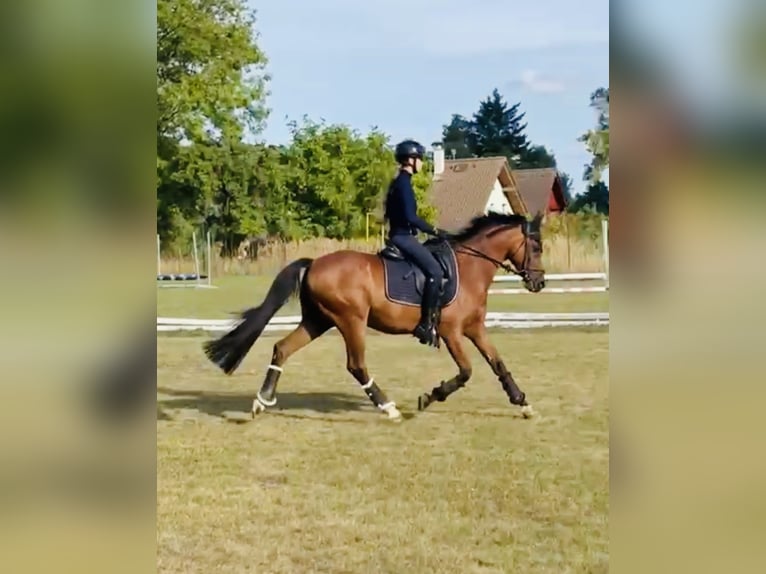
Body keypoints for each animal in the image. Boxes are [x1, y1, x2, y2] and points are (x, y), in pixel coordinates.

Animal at [203, 211, 546, 422]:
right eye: (537, 247)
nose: (539, 283)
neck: (470, 267)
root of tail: (314, 264)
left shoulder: (475, 328)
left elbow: (498, 364)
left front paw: (523, 403)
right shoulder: (451, 332)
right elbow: (465, 372)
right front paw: (429, 397)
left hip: (318, 321)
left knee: (282, 349)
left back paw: (262, 401)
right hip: (350, 320)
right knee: (356, 365)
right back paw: (388, 408)